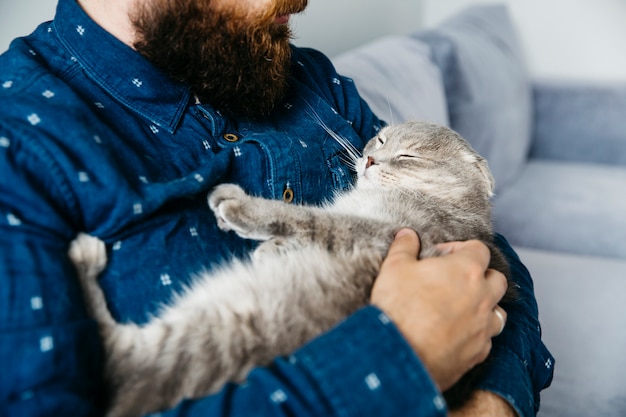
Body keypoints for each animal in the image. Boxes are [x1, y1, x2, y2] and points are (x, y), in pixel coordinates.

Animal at [72, 120, 512, 416]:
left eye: (409, 156)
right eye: (381, 140)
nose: (369, 158)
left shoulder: (381, 233)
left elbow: (308, 218)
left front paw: (242, 209)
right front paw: (273, 250)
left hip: (201, 341)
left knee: (114, 359)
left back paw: (83, 254)